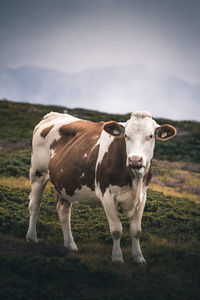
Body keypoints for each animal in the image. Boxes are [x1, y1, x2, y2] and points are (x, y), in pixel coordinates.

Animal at [25, 112, 176, 262]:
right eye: (126, 135)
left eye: (150, 136)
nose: (135, 160)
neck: (135, 180)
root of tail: (53, 114)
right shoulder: (106, 195)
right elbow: (116, 229)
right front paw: (117, 258)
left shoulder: (142, 196)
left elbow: (136, 230)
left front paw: (139, 258)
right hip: (38, 174)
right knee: (35, 205)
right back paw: (32, 237)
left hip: (64, 184)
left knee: (63, 212)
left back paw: (70, 245)